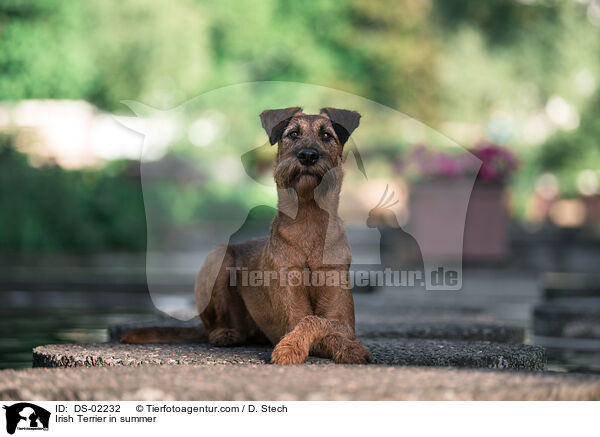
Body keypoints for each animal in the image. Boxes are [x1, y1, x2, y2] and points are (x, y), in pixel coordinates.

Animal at [121, 106, 372, 364]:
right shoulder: (291, 315)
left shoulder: (343, 321)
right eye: (293, 133)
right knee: (216, 326)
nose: (308, 155)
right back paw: (225, 333)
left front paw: (350, 348)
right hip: (218, 256)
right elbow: (308, 321)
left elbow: (323, 324)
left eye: (326, 135)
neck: (308, 219)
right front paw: (289, 348)